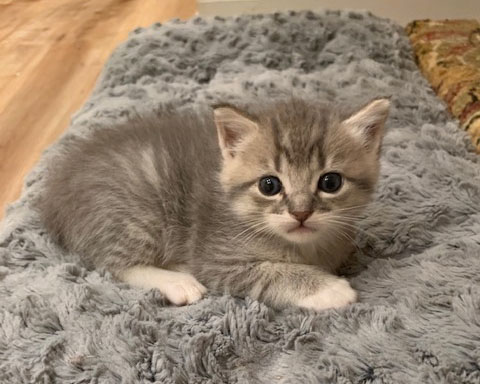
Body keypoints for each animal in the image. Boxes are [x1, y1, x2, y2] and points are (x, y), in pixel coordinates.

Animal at [38, 97, 390, 310]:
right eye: (269, 185)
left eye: (330, 183)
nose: (300, 213)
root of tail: (58, 188)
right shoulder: (217, 258)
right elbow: (272, 272)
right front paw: (329, 288)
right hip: (137, 210)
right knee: (112, 265)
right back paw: (178, 280)